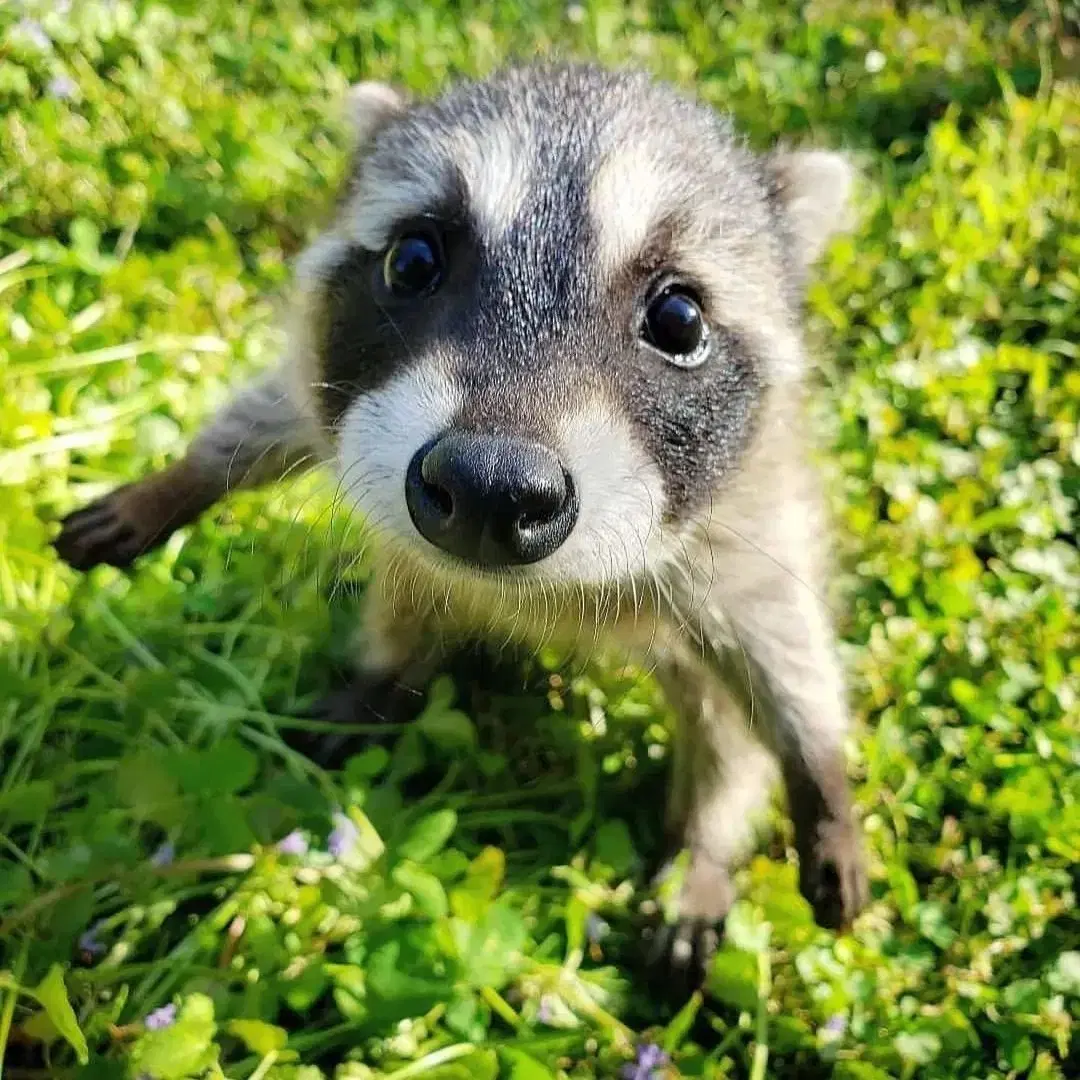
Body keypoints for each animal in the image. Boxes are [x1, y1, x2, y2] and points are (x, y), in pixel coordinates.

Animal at [56, 63, 868, 984]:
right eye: (413, 260)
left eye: (679, 319)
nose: (490, 487)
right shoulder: (330, 382)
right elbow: (272, 416)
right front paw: (174, 484)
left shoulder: (749, 509)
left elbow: (780, 641)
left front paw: (820, 776)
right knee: (405, 607)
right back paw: (376, 685)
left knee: (725, 737)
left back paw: (703, 850)